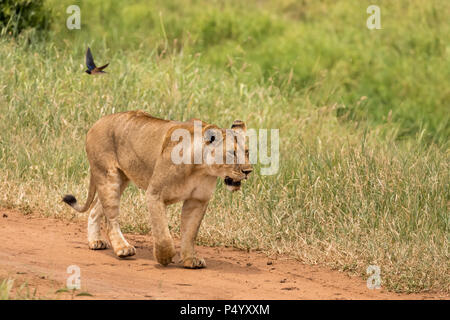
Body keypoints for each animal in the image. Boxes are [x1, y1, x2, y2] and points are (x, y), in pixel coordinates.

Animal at [61, 110, 251, 268]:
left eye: (247, 152)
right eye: (232, 153)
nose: (248, 171)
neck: (201, 169)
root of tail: (97, 122)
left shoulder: (197, 200)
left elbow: (190, 233)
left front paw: (190, 260)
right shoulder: (155, 194)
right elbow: (162, 232)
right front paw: (164, 257)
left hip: (120, 180)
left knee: (95, 209)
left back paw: (95, 242)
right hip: (109, 177)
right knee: (111, 219)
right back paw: (123, 248)